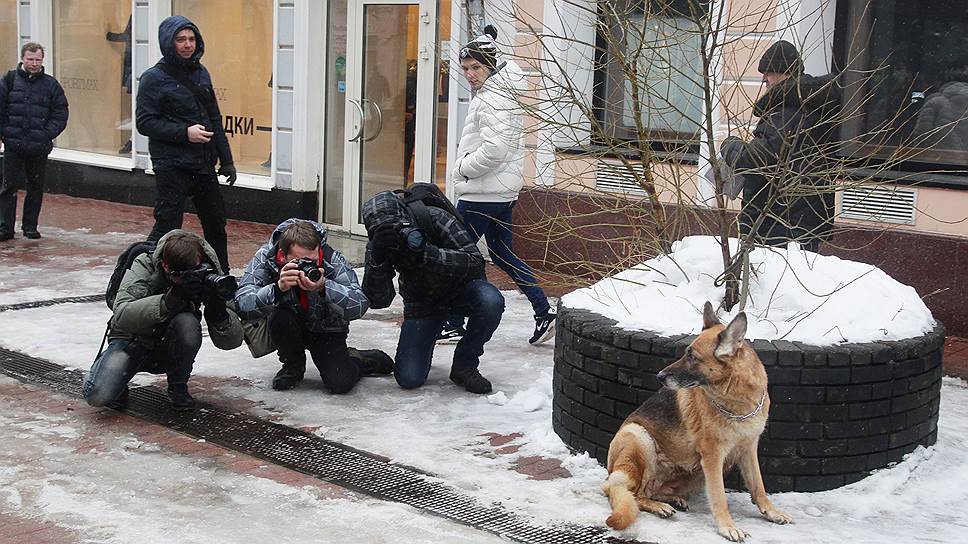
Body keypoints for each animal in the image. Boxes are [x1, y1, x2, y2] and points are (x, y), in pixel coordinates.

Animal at [604, 302, 796, 540]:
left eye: (692, 357)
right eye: (687, 354)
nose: (659, 377)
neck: (738, 400)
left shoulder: (748, 449)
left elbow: (758, 486)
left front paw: (772, 512)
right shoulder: (713, 457)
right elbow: (719, 496)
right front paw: (727, 526)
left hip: (695, 472)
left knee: (651, 490)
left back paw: (670, 500)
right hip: (640, 437)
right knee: (634, 493)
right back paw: (658, 506)